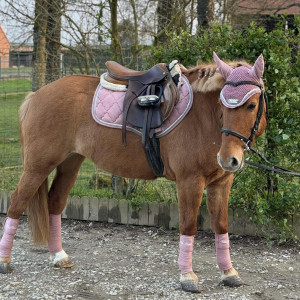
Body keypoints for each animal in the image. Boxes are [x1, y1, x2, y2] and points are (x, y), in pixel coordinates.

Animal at [0, 52, 268, 292]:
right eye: (223, 105)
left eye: (251, 105)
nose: (228, 159)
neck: (202, 118)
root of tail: (37, 95)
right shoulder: (189, 182)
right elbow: (188, 226)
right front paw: (187, 277)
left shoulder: (221, 183)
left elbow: (221, 226)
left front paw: (228, 273)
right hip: (37, 165)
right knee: (16, 203)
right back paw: (5, 261)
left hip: (70, 162)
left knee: (55, 202)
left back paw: (59, 256)